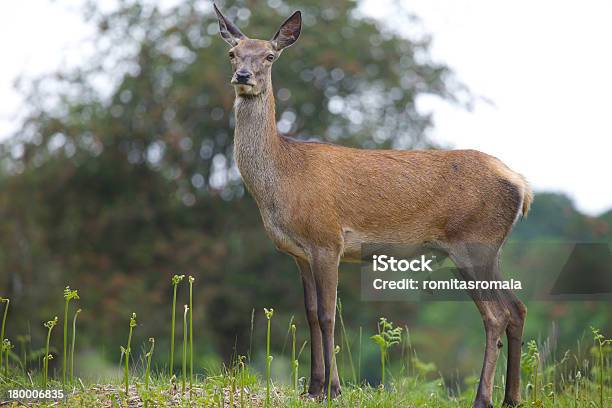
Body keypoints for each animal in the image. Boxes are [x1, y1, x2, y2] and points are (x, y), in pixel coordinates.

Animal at [214, 3, 532, 408]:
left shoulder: (327, 240)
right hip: (491, 249)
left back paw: (483, 397)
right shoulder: (299, 252)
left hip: (474, 244)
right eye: (232, 52)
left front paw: (333, 389)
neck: (283, 178)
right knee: (517, 308)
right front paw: (312, 387)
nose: (242, 76)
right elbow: (311, 314)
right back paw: (511, 397)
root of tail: (522, 185)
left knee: (496, 314)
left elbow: (328, 315)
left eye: (270, 56)